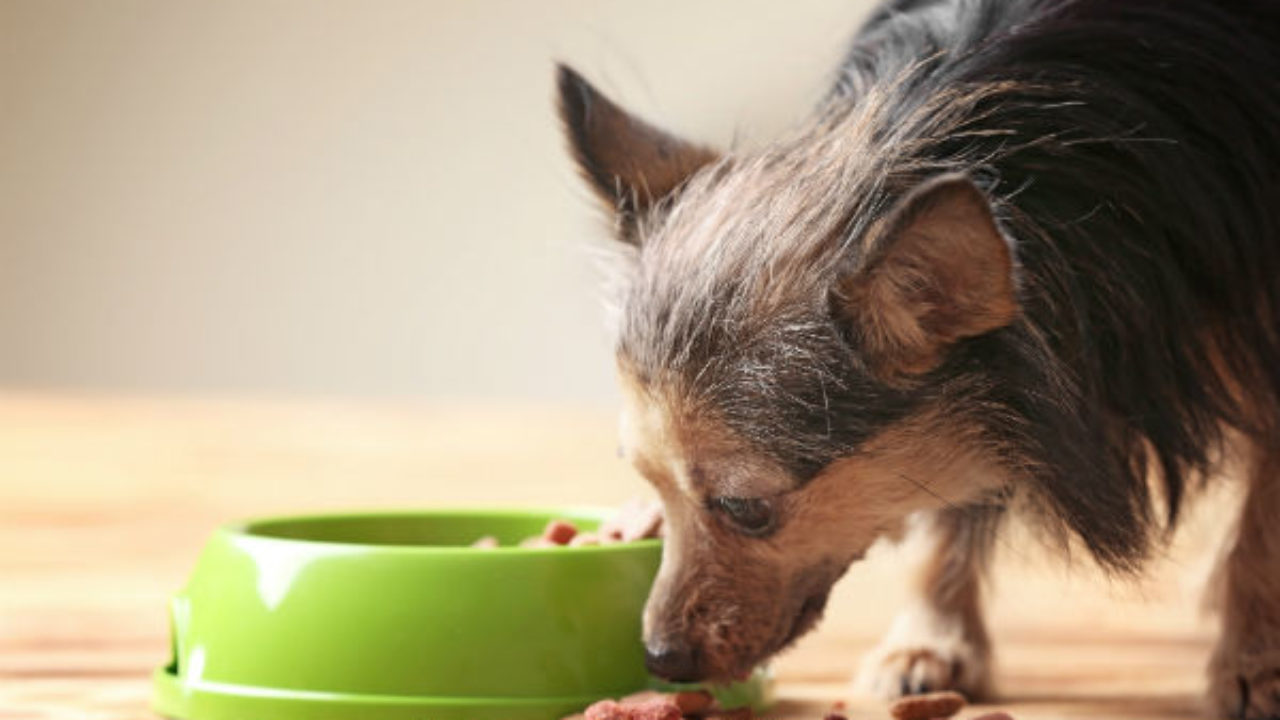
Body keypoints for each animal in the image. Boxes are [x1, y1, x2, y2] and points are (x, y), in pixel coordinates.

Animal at [555, 2, 1280, 712]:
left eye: (747, 509)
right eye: (650, 484)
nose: (660, 658)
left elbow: (1261, 524)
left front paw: (1253, 660)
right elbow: (944, 500)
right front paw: (931, 640)